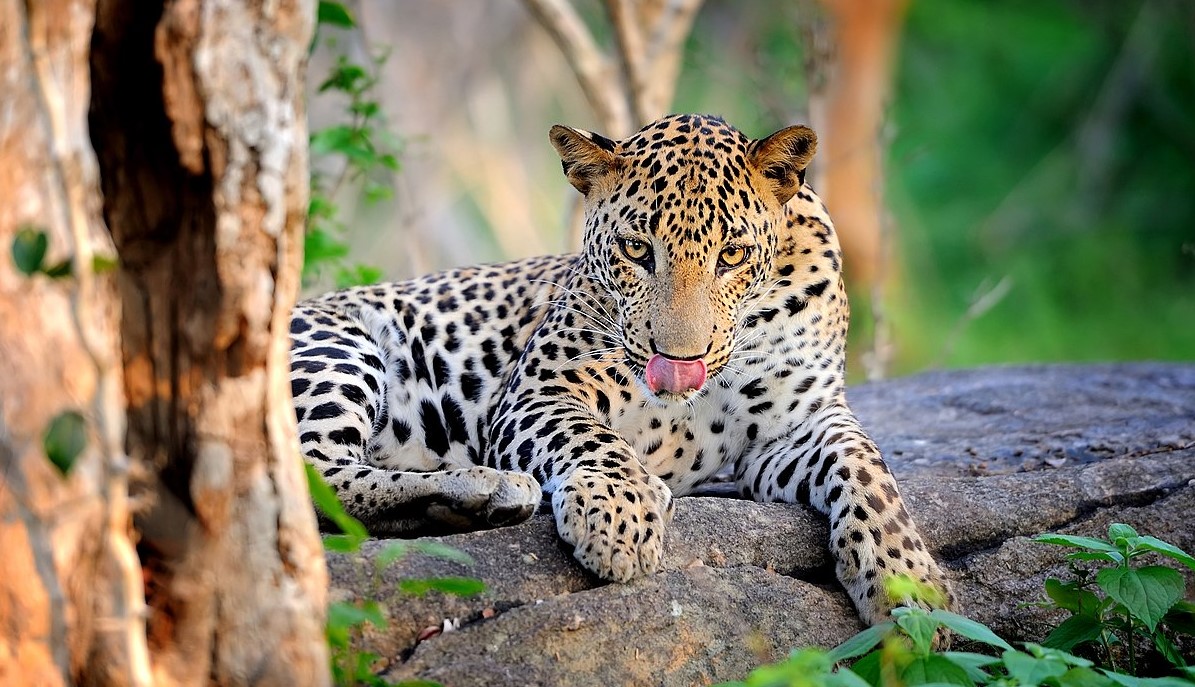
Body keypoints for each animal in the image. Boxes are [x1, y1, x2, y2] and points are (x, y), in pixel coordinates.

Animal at [293, 111, 956, 621]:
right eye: (637, 250)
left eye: (732, 255)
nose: (681, 361)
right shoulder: (539, 391)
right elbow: (592, 437)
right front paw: (620, 514)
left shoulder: (799, 424)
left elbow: (869, 469)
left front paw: (910, 584)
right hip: (339, 346)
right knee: (314, 476)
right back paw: (484, 489)